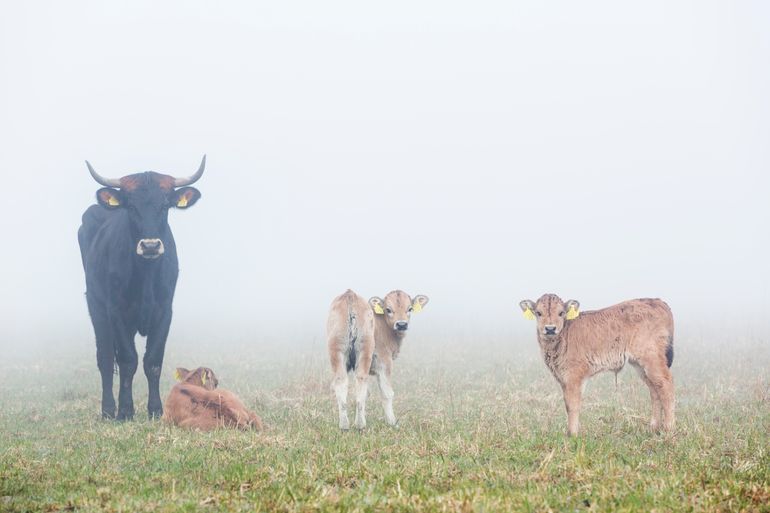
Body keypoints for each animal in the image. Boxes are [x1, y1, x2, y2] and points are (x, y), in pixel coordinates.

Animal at [78, 156, 204, 420]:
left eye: (165, 206)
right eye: (131, 207)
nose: (150, 245)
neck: (145, 275)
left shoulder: (165, 311)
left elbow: (153, 361)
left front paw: (155, 409)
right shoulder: (116, 312)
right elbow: (127, 360)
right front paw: (125, 410)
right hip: (96, 306)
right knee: (105, 358)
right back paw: (108, 410)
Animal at [516, 294, 672, 434]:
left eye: (561, 313)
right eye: (538, 313)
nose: (550, 329)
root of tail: (657, 301)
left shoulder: (574, 376)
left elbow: (573, 405)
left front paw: (572, 435)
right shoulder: (563, 378)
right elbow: (567, 404)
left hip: (652, 359)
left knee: (666, 385)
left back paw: (668, 429)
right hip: (640, 365)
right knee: (654, 390)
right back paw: (653, 428)